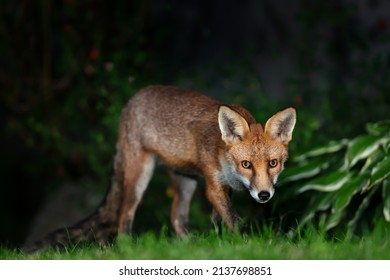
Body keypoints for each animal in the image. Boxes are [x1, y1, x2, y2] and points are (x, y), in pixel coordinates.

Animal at [24, 85, 298, 252]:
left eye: (273, 163)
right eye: (246, 164)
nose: (264, 195)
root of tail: (131, 102)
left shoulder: (223, 187)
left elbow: (219, 222)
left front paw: (221, 246)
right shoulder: (213, 185)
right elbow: (235, 220)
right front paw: (249, 246)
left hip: (185, 180)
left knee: (176, 218)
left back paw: (190, 246)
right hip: (139, 176)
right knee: (123, 216)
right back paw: (128, 250)